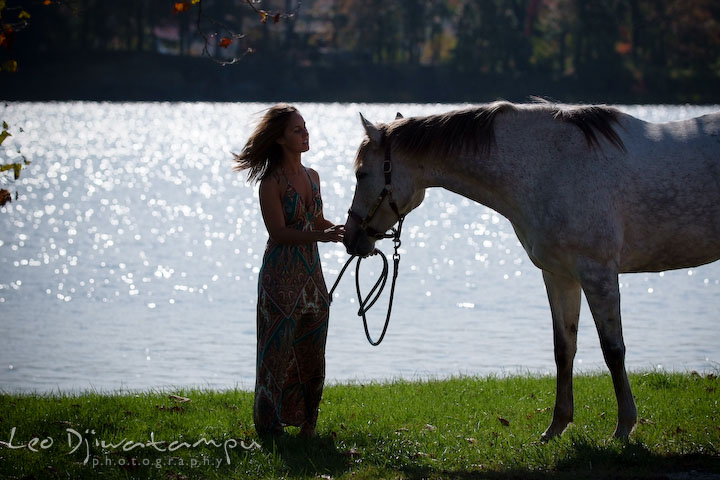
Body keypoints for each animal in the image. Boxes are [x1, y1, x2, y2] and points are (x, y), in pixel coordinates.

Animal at [344, 101, 720, 438]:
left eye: (361, 173)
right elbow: (563, 348)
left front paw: (624, 427)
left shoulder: (597, 273)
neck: (552, 166)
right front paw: (556, 426)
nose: (350, 239)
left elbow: (613, 349)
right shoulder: (560, 275)